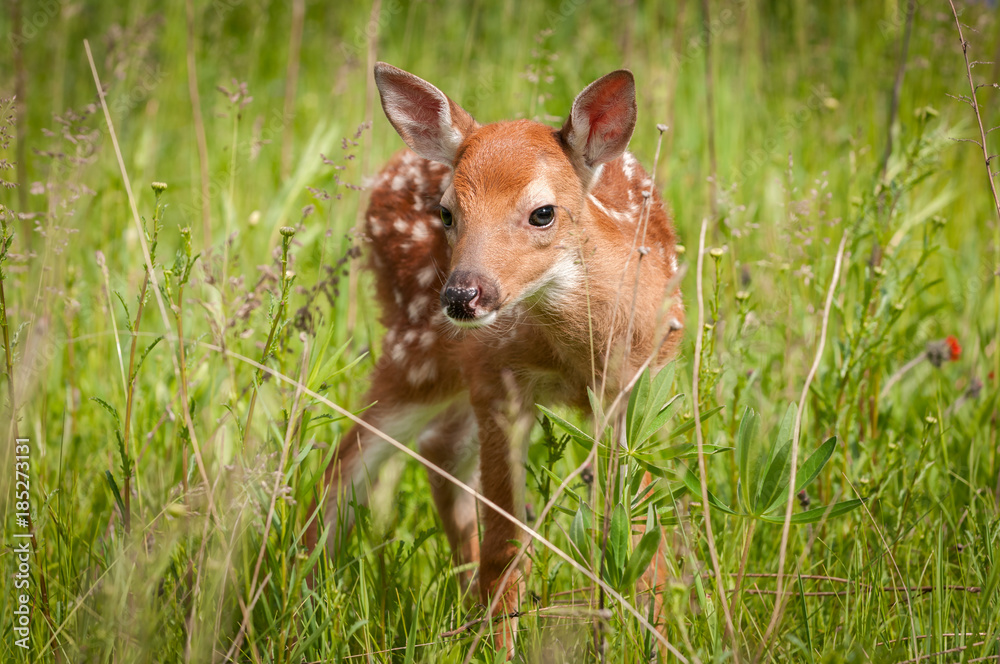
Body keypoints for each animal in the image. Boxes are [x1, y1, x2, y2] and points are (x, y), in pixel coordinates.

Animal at [313, 62, 685, 655]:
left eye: (542, 213)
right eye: (446, 212)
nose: (463, 295)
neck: (577, 353)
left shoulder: (636, 391)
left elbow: (641, 537)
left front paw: (652, 638)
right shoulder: (499, 382)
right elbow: (507, 546)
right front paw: (497, 645)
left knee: (436, 451)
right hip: (419, 354)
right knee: (346, 464)